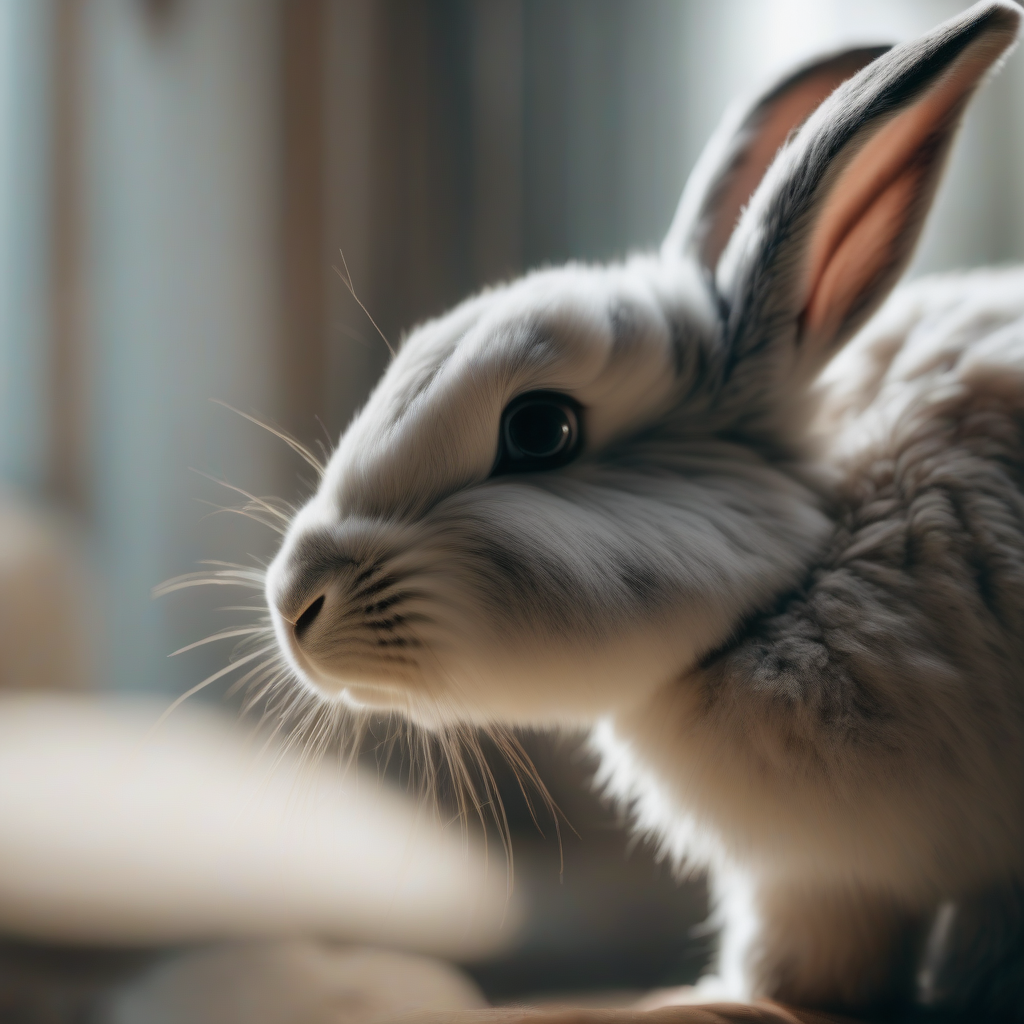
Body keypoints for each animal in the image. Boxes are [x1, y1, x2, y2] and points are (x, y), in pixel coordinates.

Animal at [264, 2, 1024, 1020]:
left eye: (540, 430)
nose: (292, 605)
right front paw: (717, 998)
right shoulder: (822, 879)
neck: (811, 563)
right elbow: (804, 966)